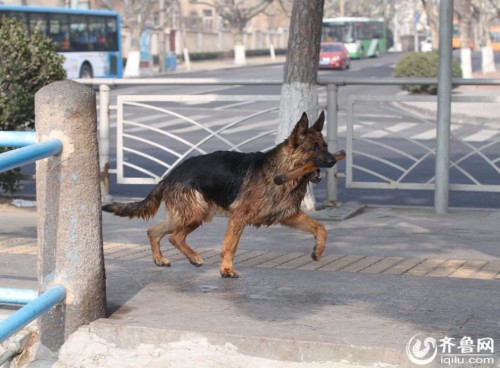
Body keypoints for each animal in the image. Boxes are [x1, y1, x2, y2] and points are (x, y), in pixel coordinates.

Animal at [103, 110, 342, 278]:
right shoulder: (238, 218)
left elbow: (320, 228)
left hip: (190, 215)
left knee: (156, 232)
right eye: (313, 148)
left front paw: (318, 250)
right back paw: (188, 257)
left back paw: (163, 259)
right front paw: (226, 269)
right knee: (170, 235)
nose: (333, 160)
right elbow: (230, 245)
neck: (282, 171)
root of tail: (171, 175)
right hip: (195, 213)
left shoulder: (288, 215)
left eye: (325, 146)